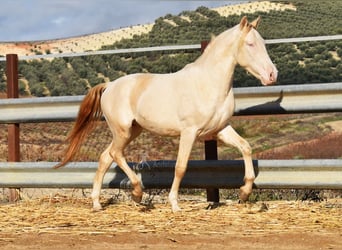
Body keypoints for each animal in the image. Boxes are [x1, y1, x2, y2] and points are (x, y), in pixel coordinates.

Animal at [54, 15, 278, 212]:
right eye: (250, 44)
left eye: (263, 43)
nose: (272, 75)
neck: (208, 84)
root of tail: (109, 86)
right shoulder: (189, 132)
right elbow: (181, 167)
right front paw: (175, 204)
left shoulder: (220, 130)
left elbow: (246, 147)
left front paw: (244, 192)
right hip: (122, 131)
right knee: (115, 154)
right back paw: (137, 193)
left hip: (132, 131)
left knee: (105, 157)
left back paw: (98, 203)